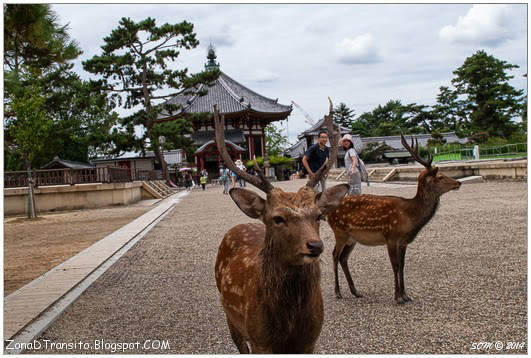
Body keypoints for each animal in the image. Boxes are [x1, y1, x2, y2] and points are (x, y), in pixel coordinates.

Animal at [213, 100, 350, 352]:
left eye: (319, 215)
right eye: (277, 218)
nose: (315, 246)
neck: (288, 326)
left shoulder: (310, 341)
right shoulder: (260, 341)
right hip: (230, 317)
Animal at [328, 134, 462, 302]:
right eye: (440, 176)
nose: (458, 182)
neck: (409, 216)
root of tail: (327, 212)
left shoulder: (403, 241)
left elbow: (403, 265)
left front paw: (405, 295)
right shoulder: (390, 236)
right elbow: (395, 265)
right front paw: (397, 297)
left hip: (352, 238)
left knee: (343, 258)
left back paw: (355, 291)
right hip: (339, 232)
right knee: (334, 255)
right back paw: (337, 292)